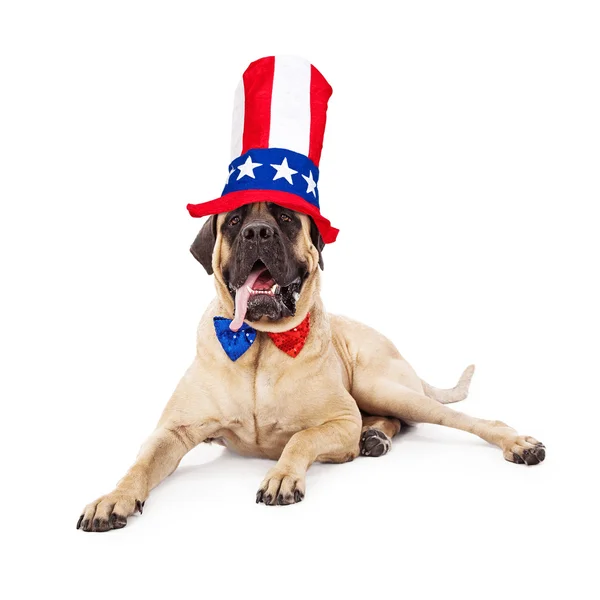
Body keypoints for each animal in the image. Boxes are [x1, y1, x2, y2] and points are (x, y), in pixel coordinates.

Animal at [77, 203, 548, 536]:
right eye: (234, 221)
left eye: (285, 218)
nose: (257, 232)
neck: (260, 343)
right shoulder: (173, 431)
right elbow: (140, 464)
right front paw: (113, 498)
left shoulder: (338, 421)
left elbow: (300, 438)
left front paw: (282, 477)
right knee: (392, 420)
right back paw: (375, 437)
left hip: (384, 387)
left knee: (460, 418)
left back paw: (518, 444)